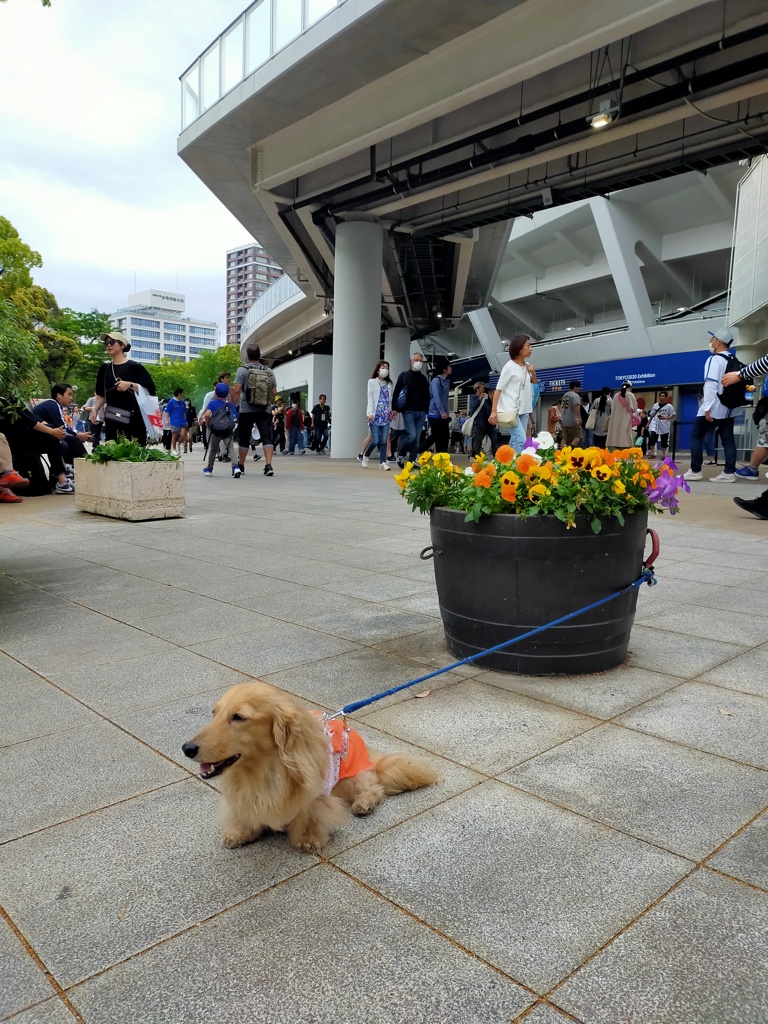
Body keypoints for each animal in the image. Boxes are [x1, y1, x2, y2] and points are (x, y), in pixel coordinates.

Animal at [182, 679, 438, 856]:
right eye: (214, 713)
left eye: (238, 717)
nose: (186, 748)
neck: (264, 770)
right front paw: (239, 831)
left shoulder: (316, 794)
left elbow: (309, 814)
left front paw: (308, 838)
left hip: (349, 777)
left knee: (372, 784)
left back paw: (364, 802)